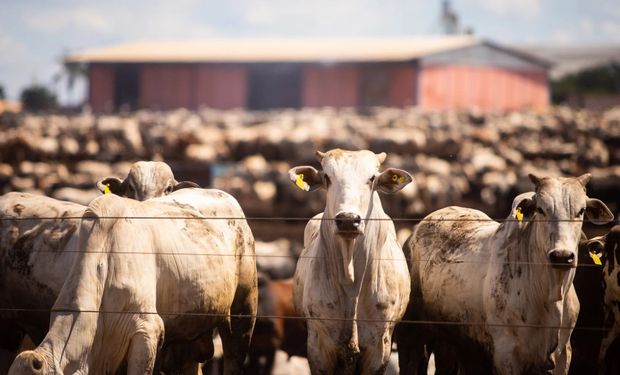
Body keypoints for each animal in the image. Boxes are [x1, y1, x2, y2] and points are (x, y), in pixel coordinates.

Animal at [398, 176, 616, 375]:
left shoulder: (562, 356)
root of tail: (416, 229)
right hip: (411, 336)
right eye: (541, 209)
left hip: (457, 345)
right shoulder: (506, 356)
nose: (562, 256)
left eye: (581, 211)